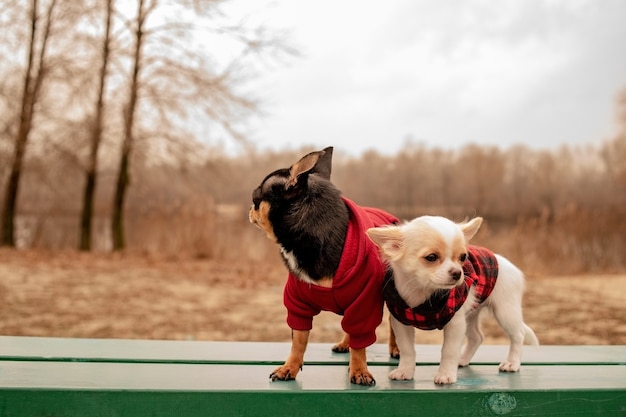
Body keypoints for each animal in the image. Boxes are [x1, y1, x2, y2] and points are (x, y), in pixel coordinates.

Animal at [247, 145, 398, 384]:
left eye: (256, 198)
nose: (249, 208)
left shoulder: (363, 304)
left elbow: (360, 344)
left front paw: (359, 370)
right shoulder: (297, 303)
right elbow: (298, 340)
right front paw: (289, 367)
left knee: (392, 326)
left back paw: (395, 349)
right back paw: (345, 343)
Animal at [366, 214, 536, 384]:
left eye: (463, 257)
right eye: (431, 257)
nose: (457, 273)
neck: (424, 292)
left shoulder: (455, 323)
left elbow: (449, 350)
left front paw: (446, 374)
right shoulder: (401, 323)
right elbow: (407, 349)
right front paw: (405, 371)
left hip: (505, 311)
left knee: (518, 335)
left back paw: (512, 363)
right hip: (471, 314)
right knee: (477, 337)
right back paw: (463, 360)